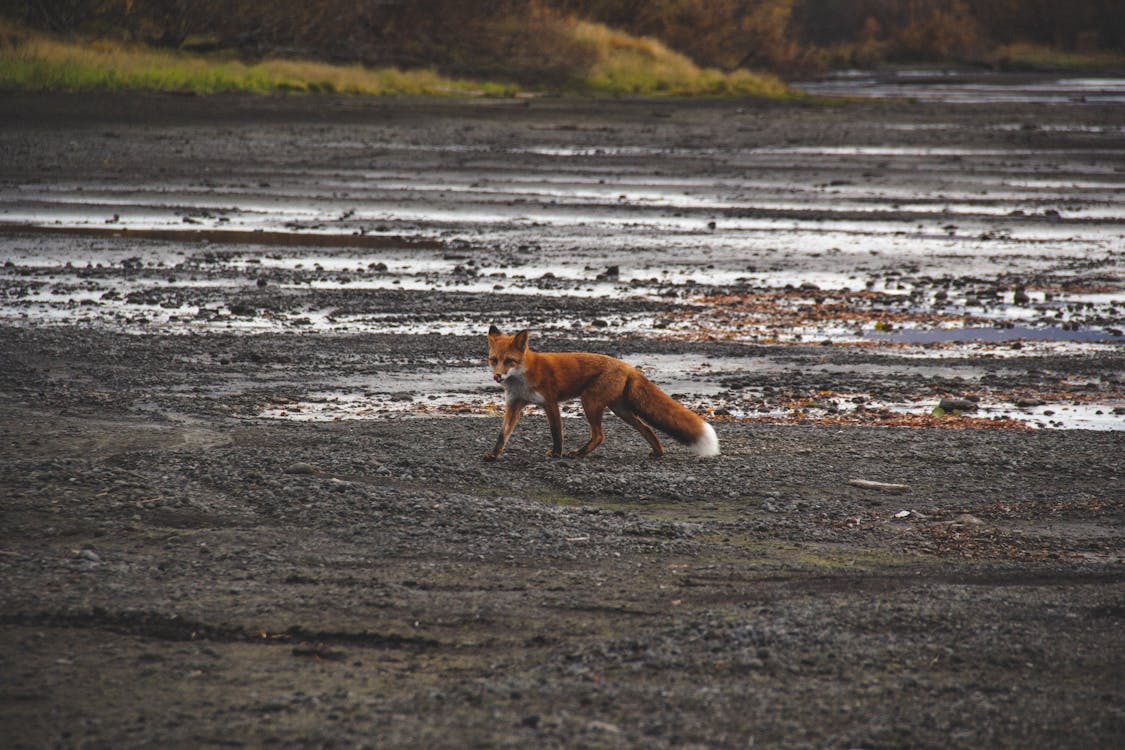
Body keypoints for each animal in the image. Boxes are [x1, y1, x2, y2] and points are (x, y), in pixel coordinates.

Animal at [483, 326, 720, 461]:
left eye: (509, 361)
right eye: (494, 360)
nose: (498, 376)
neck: (523, 376)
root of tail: (627, 366)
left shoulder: (550, 402)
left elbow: (556, 432)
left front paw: (557, 453)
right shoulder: (514, 404)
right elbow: (502, 434)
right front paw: (494, 454)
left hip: (590, 402)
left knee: (599, 435)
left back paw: (579, 453)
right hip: (620, 410)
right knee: (646, 428)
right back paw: (657, 452)